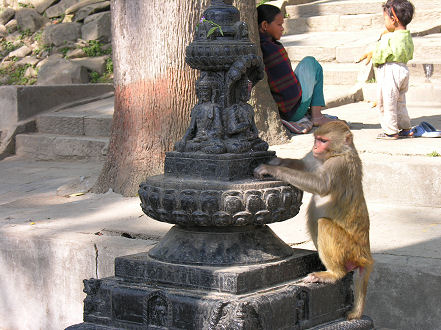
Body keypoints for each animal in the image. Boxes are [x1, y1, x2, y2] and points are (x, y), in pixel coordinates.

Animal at [253, 120, 372, 320]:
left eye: (323, 141)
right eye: (316, 139)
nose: (316, 147)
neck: (335, 153)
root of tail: (365, 255)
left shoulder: (338, 165)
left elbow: (320, 186)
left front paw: (272, 169)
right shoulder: (313, 158)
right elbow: (302, 165)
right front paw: (277, 161)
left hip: (349, 248)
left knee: (322, 223)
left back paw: (334, 274)